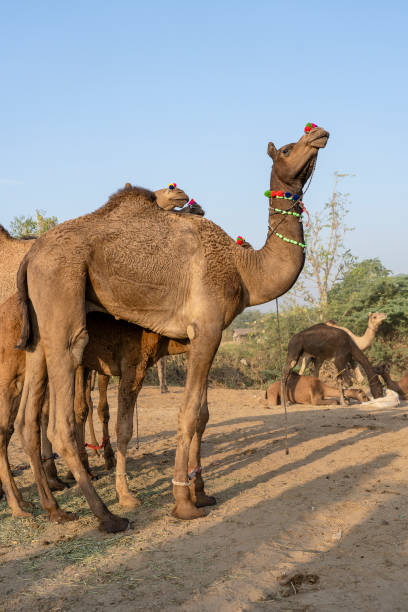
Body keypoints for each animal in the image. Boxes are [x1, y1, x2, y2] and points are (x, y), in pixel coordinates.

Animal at [15, 123, 330, 532]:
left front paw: (203, 493)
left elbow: (205, 414)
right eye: (289, 148)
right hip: (62, 288)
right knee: (62, 412)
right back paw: (107, 515)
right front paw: (184, 502)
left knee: (28, 415)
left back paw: (55, 509)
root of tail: (31, 256)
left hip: (39, 329)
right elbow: (190, 412)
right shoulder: (208, 328)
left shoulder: (204, 336)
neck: (244, 269)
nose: (319, 133)